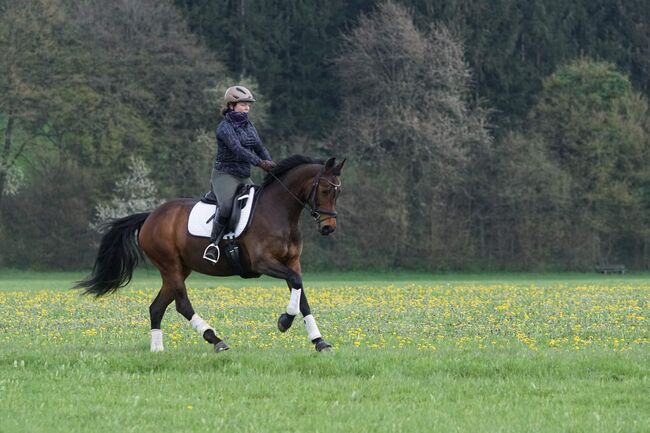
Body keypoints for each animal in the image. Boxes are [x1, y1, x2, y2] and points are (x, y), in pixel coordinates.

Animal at [74, 155, 344, 352]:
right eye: (325, 190)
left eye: (337, 192)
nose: (328, 228)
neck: (279, 212)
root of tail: (150, 216)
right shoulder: (262, 262)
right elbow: (296, 285)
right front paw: (284, 321)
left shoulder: (292, 262)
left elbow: (302, 296)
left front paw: (319, 341)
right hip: (170, 265)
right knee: (182, 304)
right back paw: (215, 339)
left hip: (178, 269)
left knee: (157, 307)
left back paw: (157, 349)